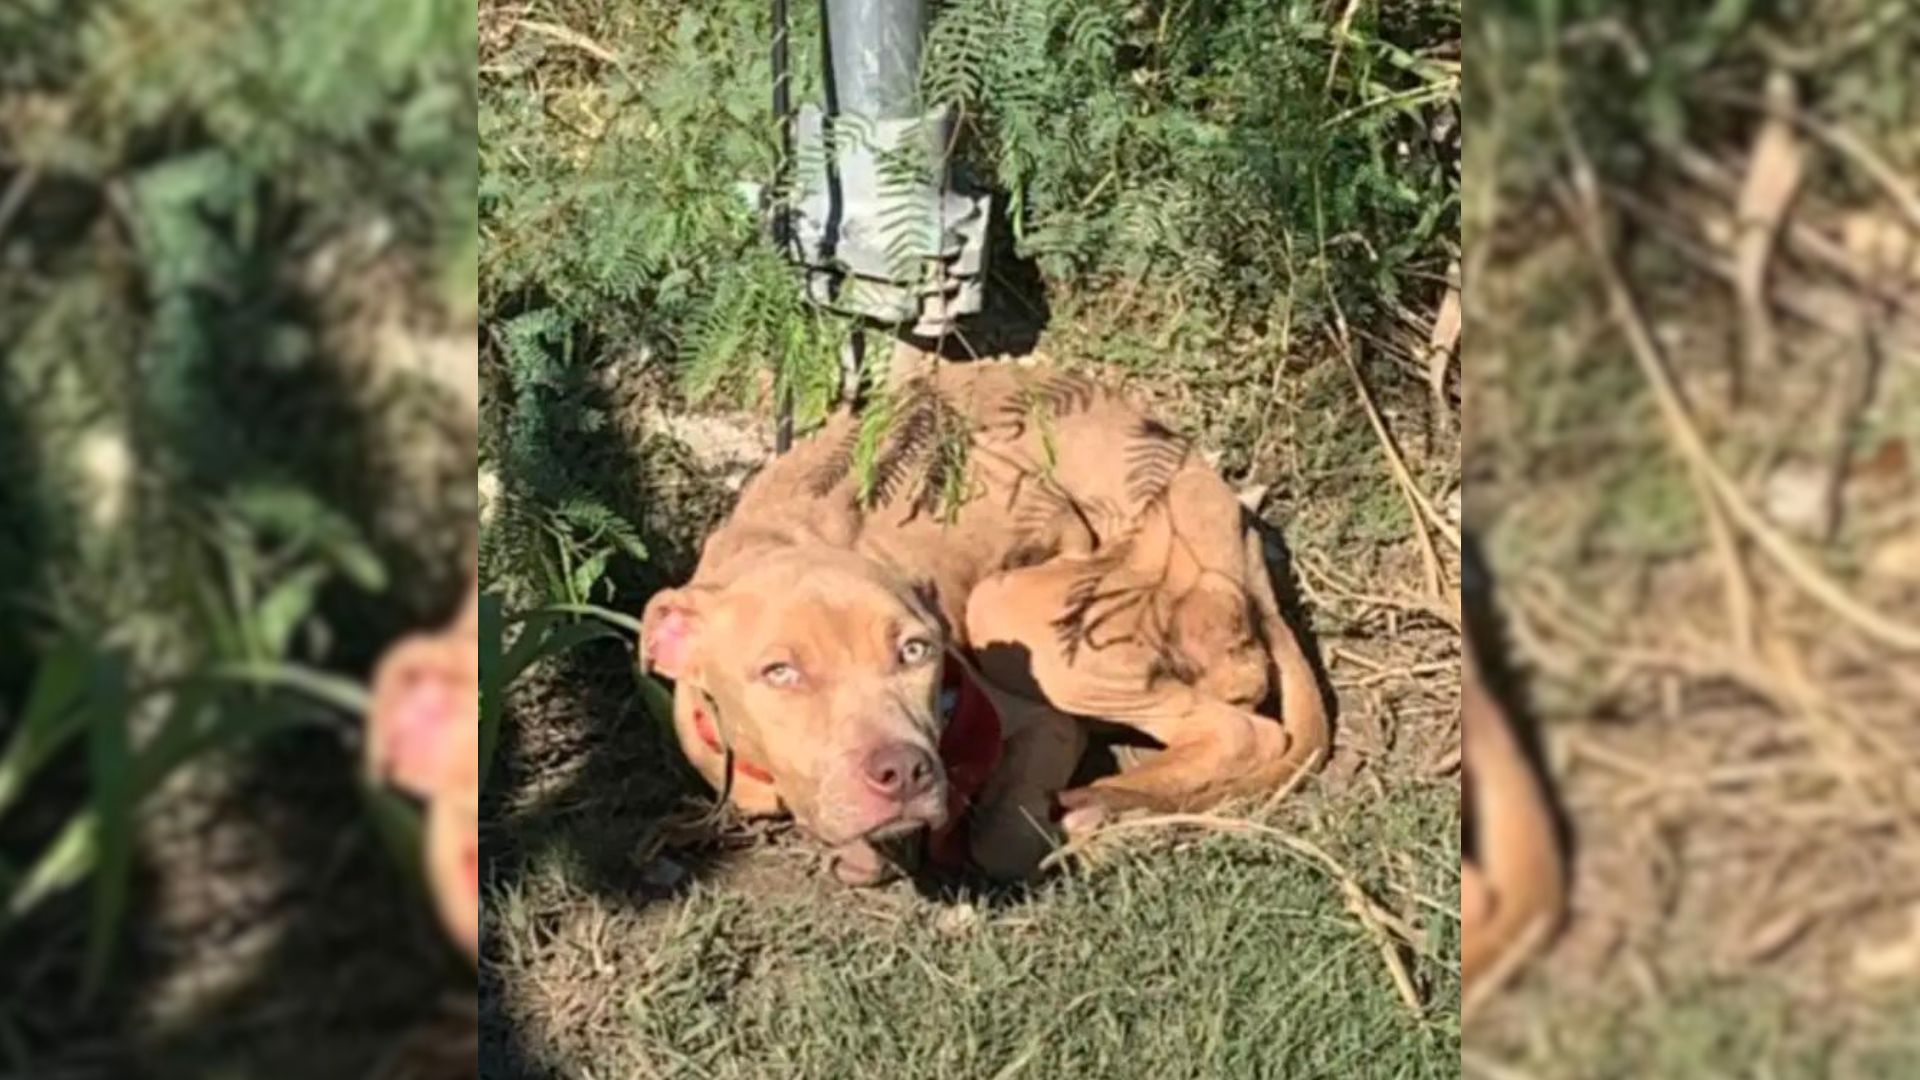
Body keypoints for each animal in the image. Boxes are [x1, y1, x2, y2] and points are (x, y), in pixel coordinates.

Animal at [637, 357, 1328, 880]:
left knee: (1241, 733)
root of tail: (1235, 522)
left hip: (1021, 613)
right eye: (779, 673)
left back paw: (1109, 800)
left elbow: (1001, 841)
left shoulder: (1038, 723)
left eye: (916, 651)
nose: (904, 771)